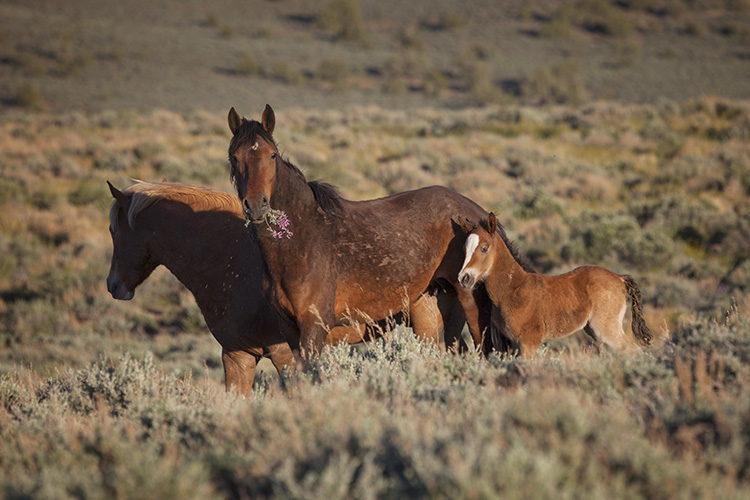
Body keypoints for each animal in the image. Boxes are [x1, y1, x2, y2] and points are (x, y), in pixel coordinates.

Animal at [226, 106, 502, 364]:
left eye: (272, 155)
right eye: (234, 157)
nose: (256, 205)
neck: (302, 241)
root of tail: (478, 214)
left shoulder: (313, 327)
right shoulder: (290, 329)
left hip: (470, 303)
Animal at [458, 213, 652, 358]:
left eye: (484, 248)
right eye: (464, 249)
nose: (464, 278)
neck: (513, 288)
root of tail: (619, 277)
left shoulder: (528, 342)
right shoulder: (514, 344)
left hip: (606, 328)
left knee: (633, 350)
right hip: (595, 331)